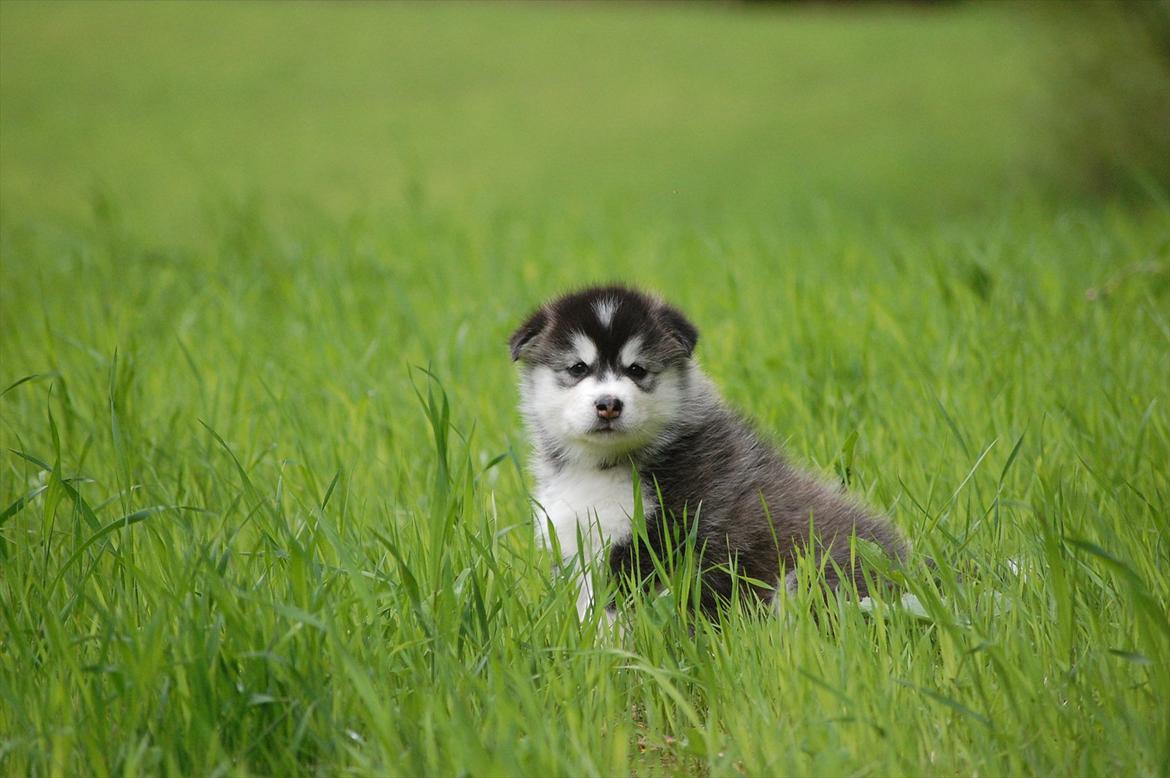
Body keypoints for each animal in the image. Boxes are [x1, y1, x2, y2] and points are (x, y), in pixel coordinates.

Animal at [510, 285, 903, 617]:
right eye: (578, 368)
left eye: (637, 370)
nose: (609, 404)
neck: (603, 467)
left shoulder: (658, 537)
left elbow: (618, 615)